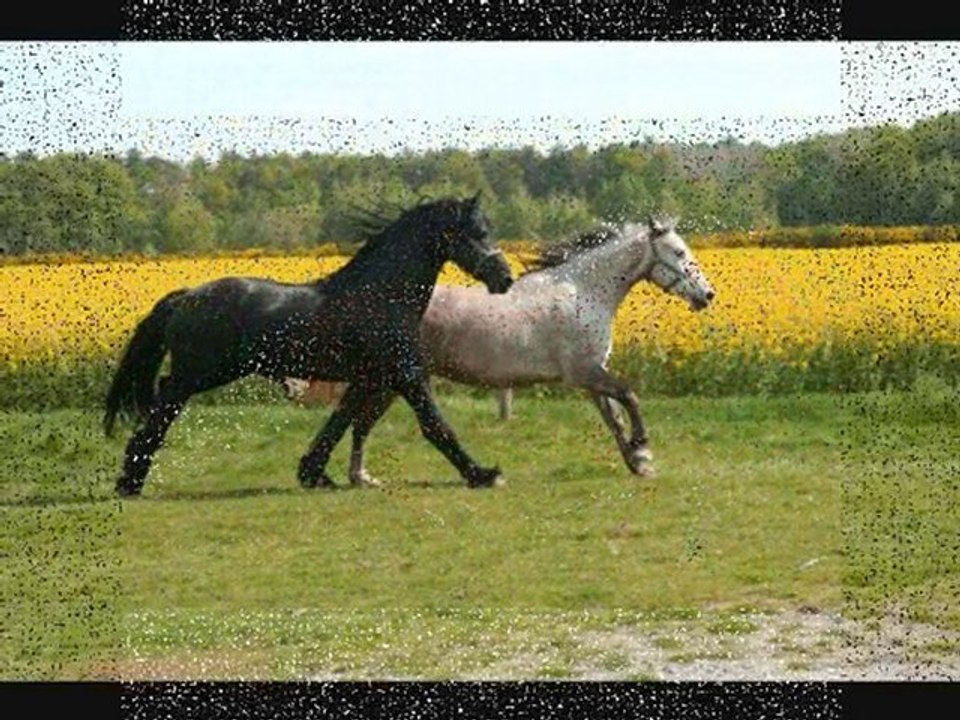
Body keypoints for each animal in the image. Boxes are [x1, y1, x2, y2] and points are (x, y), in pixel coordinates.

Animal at [103, 194, 514, 497]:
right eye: (478, 232)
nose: (505, 278)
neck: (382, 297)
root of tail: (186, 297)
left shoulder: (368, 376)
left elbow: (339, 423)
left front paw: (314, 474)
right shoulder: (407, 374)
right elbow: (435, 425)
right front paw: (483, 473)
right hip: (200, 375)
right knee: (161, 410)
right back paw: (130, 482)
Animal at [288, 216, 715, 485]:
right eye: (678, 252)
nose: (707, 295)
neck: (582, 293)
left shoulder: (591, 376)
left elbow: (614, 418)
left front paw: (637, 463)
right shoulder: (584, 372)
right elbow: (629, 396)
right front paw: (643, 451)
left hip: (390, 379)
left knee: (360, 420)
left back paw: (358, 476)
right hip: (392, 378)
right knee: (358, 418)